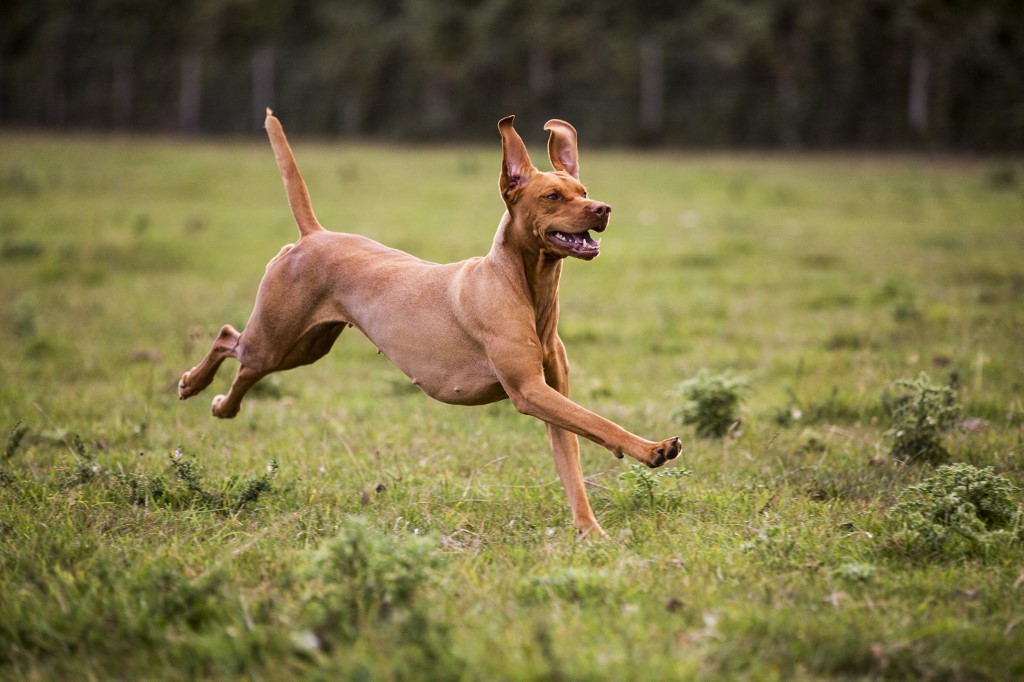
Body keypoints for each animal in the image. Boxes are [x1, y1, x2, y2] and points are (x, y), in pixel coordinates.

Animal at [182, 110, 679, 536]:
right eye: (552, 196)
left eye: (583, 190)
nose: (603, 209)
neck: (521, 287)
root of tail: (314, 234)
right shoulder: (529, 391)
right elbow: (600, 423)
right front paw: (652, 449)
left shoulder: (551, 393)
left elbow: (574, 460)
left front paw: (591, 532)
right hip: (276, 339)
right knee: (230, 341)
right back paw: (197, 386)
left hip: (306, 347)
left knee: (241, 355)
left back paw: (218, 402)